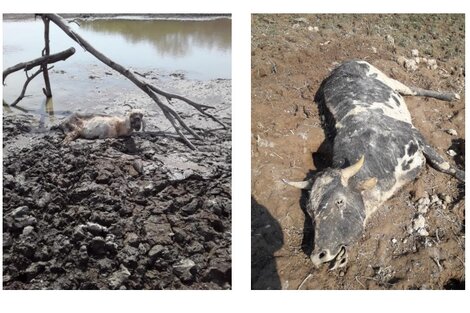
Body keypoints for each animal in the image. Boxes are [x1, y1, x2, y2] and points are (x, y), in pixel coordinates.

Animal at [284, 59, 464, 270]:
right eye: (310, 212)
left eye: (339, 201)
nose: (318, 255)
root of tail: (343, 65)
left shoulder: (413, 134)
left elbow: (443, 164)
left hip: (386, 78)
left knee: (412, 89)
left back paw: (451, 95)